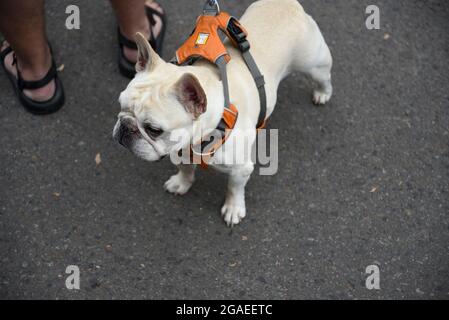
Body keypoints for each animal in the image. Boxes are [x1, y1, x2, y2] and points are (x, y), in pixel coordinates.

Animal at [113, 0, 332, 226]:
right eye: (121, 106)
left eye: (154, 129)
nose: (125, 127)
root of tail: (286, 3)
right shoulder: (181, 150)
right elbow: (185, 168)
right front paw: (182, 182)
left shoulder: (241, 169)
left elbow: (234, 188)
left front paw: (233, 208)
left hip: (314, 63)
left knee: (324, 77)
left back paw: (322, 93)